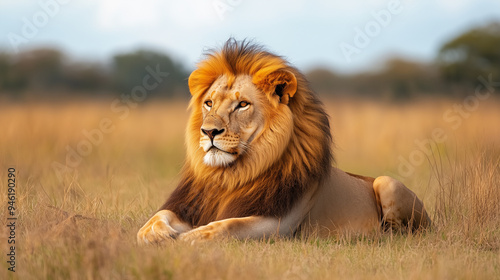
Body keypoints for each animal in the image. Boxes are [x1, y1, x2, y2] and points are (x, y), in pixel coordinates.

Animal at [136, 39, 430, 245]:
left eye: (242, 105)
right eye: (209, 103)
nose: (208, 131)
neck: (232, 175)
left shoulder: (280, 224)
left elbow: (228, 225)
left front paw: (190, 237)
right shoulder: (190, 206)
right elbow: (153, 219)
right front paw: (157, 234)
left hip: (387, 184)